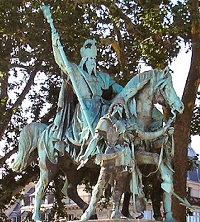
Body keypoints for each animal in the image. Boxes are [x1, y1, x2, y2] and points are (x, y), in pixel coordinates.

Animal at [12, 67, 184, 221]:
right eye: (166, 87)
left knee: (70, 190)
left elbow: (149, 171)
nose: (180, 107)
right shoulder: (135, 155)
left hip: (74, 169)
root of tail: (45, 130)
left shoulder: (135, 157)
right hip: (49, 166)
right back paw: (38, 217)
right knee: (41, 187)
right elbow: (151, 165)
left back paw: (90, 212)